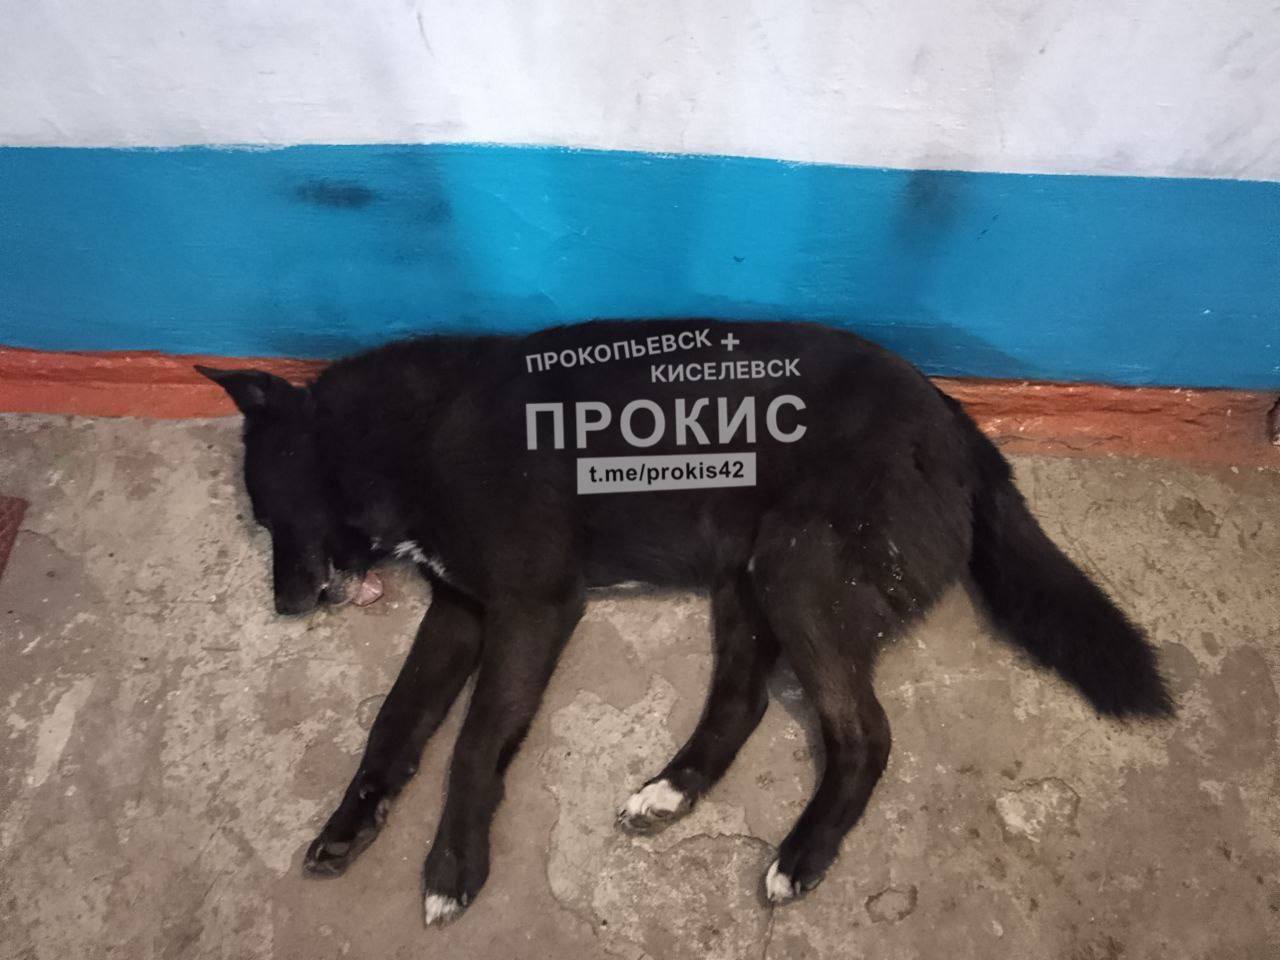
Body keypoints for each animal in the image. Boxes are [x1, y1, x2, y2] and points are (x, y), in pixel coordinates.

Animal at [199, 318, 1172, 926]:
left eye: (267, 514)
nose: (284, 607)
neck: (409, 434)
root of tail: (955, 418)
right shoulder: (463, 612)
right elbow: (395, 723)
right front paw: (349, 823)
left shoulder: (530, 608)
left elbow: (472, 742)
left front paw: (453, 866)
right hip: (748, 580)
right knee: (743, 703)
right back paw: (672, 789)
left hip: (796, 571)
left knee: (866, 733)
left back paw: (802, 855)